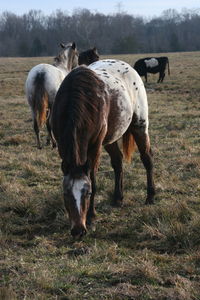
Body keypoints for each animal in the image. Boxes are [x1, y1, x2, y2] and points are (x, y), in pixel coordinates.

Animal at [51, 59, 155, 238]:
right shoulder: (62, 146)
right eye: (65, 194)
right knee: (118, 162)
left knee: (147, 159)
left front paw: (91, 217)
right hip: (111, 138)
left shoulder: (95, 146)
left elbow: (93, 178)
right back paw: (118, 198)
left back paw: (150, 196)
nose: (78, 231)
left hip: (139, 126)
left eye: (87, 193)